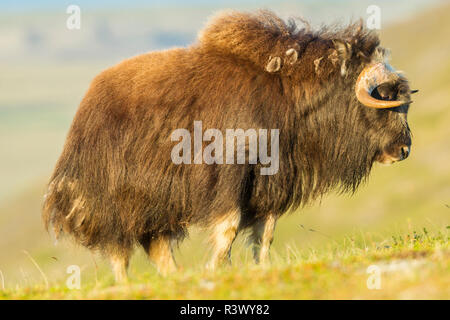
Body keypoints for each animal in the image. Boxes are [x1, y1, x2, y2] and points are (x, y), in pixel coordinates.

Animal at [42, 10, 414, 282]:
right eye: (385, 96)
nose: (404, 150)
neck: (289, 95)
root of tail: (86, 106)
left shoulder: (269, 184)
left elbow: (265, 232)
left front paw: (259, 267)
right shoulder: (229, 177)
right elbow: (229, 227)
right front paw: (215, 268)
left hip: (156, 209)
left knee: (157, 247)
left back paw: (176, 277)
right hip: (113, 203)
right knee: (119, 250)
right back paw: (128, 284)